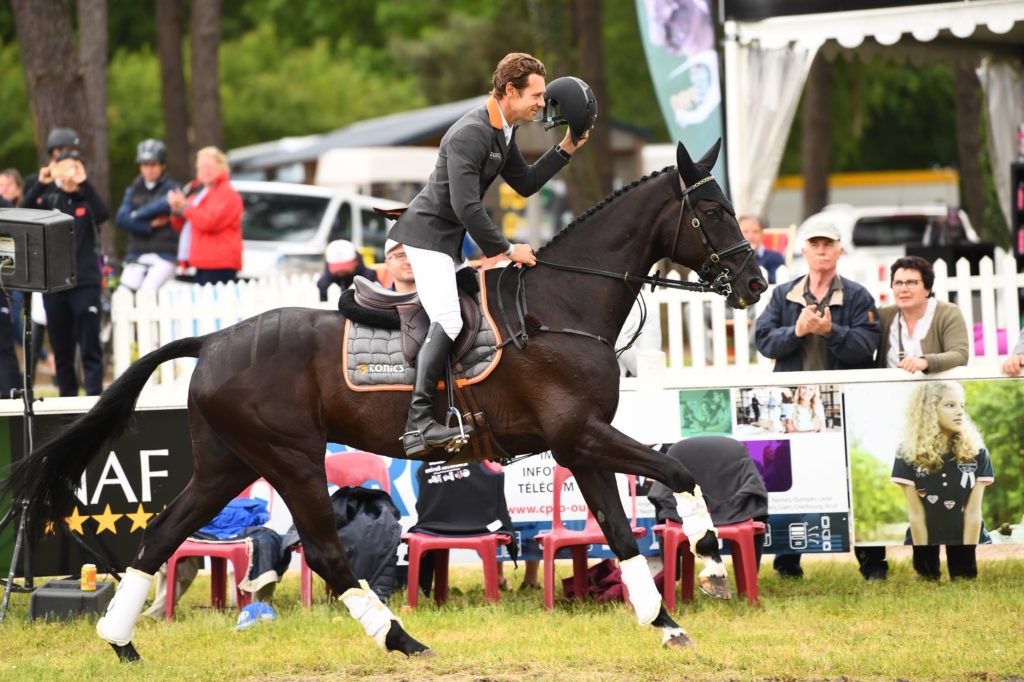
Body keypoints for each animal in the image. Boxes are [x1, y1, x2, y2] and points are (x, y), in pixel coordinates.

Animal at [0, 139, 765, 659]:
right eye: (713, 210)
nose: (755, 284)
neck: (561, 305)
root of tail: (213, 340)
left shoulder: (580, 444)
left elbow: (622, 525)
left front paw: (664, 620)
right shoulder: (581, 434)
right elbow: (675, 474)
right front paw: (710, 562)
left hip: (227, 464)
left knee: (162, 536)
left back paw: (119, 639)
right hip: (292, 459)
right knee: (326, 554)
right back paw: (401, 638)